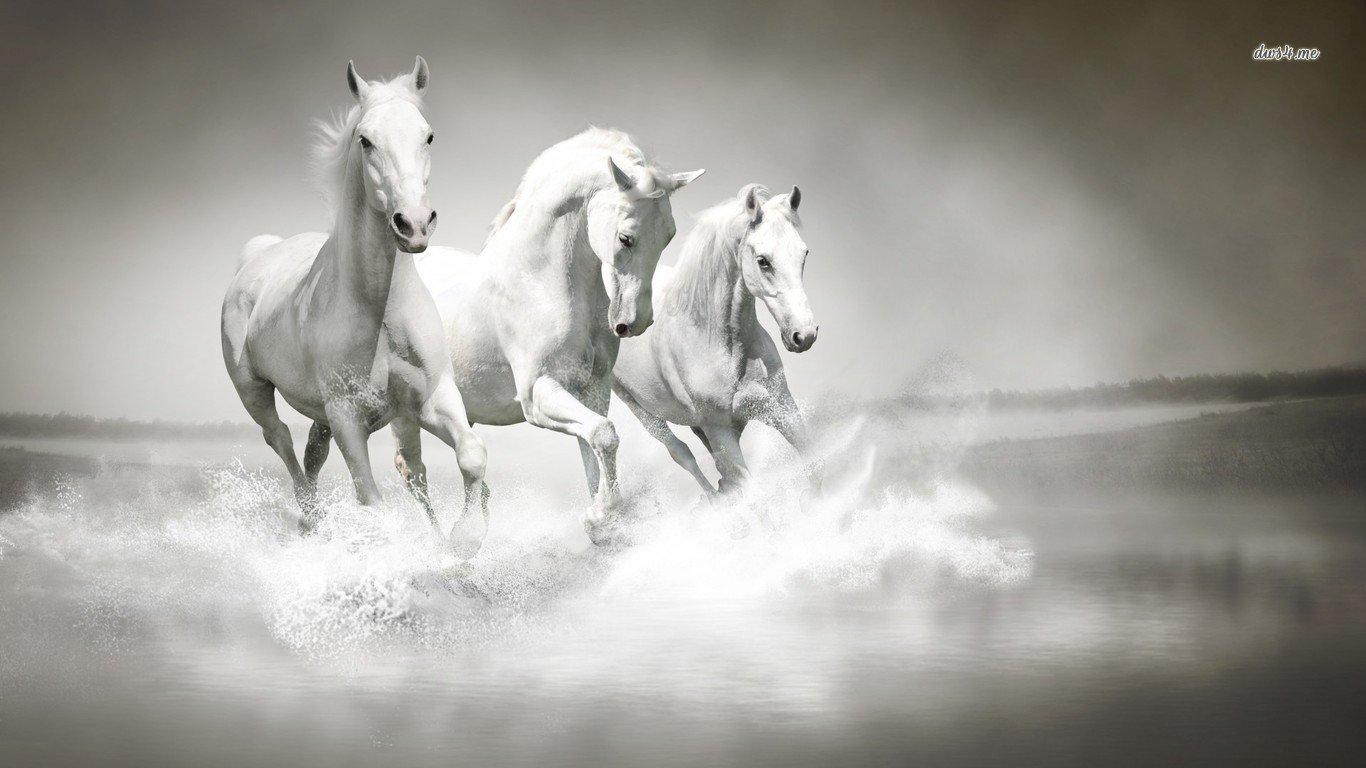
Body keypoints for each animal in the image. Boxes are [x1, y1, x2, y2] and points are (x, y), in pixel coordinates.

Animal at [220, 58, 489, 552]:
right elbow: (371, 499)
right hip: (253, 390)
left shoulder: (432, 398)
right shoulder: (348, 417)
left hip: (324, 413)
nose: (414, 224)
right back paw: (311, 519)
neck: (379, 312)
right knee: (280, 440)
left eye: (428, 135)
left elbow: (471, 455)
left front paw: (463, 540)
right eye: (366, 140)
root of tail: (256, 257)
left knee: (314, 450)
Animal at [403, 128, 704, 547]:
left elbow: (594, 444)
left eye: (669, 236)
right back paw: (447, 544)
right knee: (412, 472)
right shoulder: (537, 392)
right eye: (626, 238)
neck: (539, 280)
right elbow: (605, 436)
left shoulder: (591, 389)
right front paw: (601, 517)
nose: (635, 322)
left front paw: (603, 523)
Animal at [611, 184, 818, 499]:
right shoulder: (720, 430)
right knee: (682, 453)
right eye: (763, 261)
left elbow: (815, 468)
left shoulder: (782, 408)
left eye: (803, 253)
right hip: (641, 410)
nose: (804, 335)